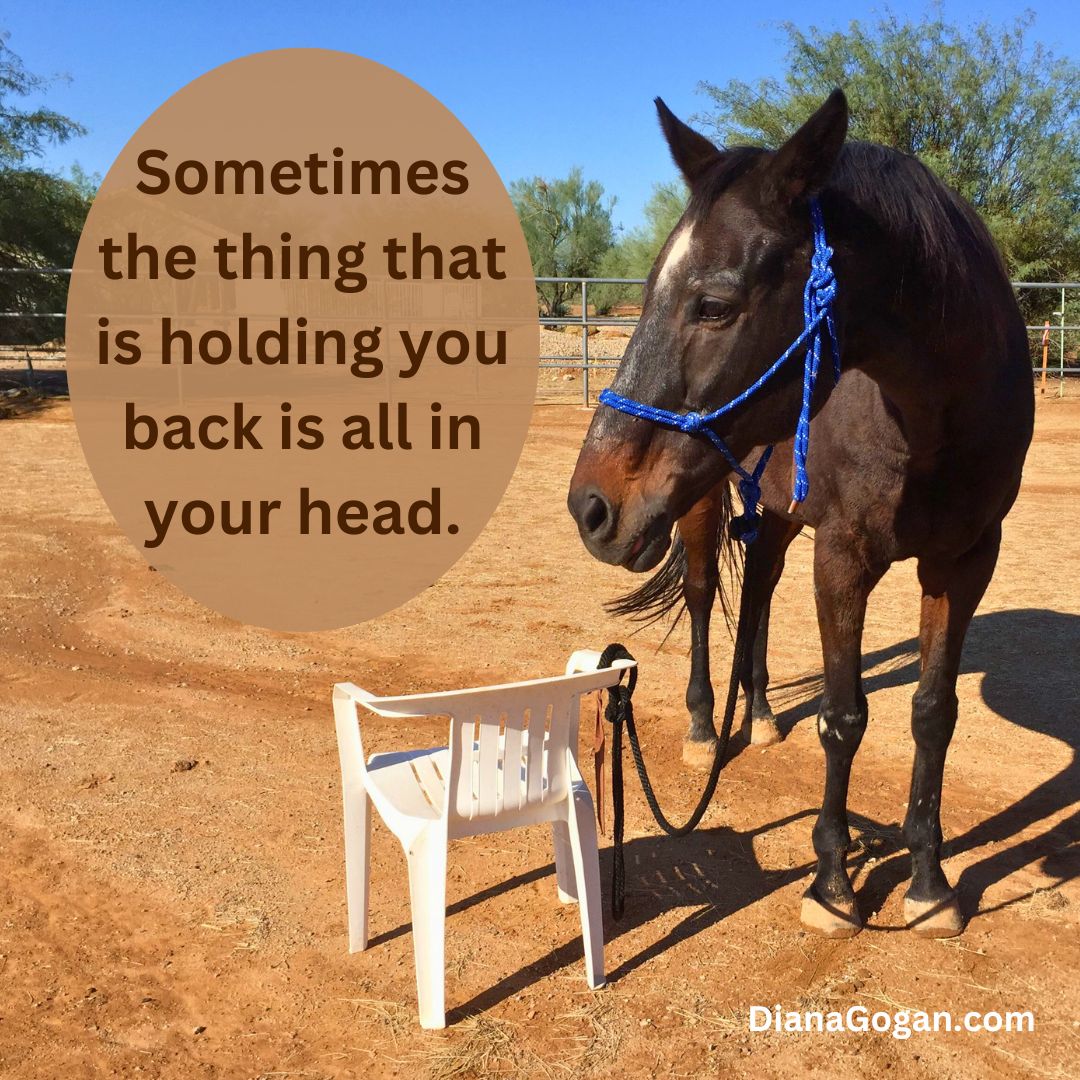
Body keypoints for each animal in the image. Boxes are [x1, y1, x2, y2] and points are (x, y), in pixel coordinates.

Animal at [567, 89, 1034, 939]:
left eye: (714, 303)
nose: (591, 505)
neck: (935, 417)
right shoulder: (845, 555)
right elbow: (844, 718)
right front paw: (833, 883)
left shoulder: (964, 562)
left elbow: (933, 713)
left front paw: (928, 882)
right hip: (703, 501)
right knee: (702, 601)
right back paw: (704, 729)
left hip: (778, 514)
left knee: (757, 595)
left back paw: (756, 715)